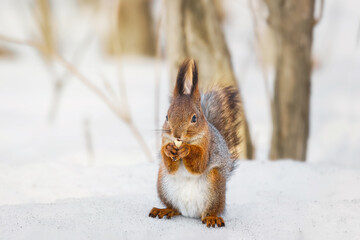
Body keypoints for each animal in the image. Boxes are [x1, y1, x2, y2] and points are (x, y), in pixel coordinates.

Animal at [148, 59, 245, 228]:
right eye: (166, 116)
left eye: (194, 118)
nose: (177, 135)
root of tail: (189, 212)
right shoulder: (165, 139)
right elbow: (170, 166)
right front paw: (168, 149)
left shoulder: (208, 146)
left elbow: (199, 165)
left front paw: (187, 149)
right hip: (163, 184)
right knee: (175, 208)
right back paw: (165, 210)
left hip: (215, 186)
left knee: (210, 211)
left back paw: (211, 218)